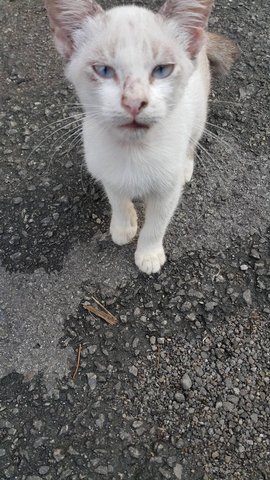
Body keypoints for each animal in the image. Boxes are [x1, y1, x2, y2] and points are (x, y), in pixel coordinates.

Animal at [44, 0, 238, 274]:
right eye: (103, 70)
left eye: (162, 70)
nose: (134, 102)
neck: (133, 152)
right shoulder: (106, 171)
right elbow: (117, 199)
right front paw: (123, 227)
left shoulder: (167, 191)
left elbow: (157, 224)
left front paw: (149, 254)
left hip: (199, 113)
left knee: (192, 140)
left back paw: (187, 165)